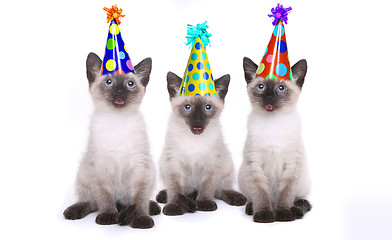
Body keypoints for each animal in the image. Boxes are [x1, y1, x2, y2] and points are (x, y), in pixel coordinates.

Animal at [62, 52, 159, 229]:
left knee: (132, 202)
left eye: (130, 84)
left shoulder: (141, 167)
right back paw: (73, 212)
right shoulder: (99, 168)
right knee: (91, 202)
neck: (117, 120)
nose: (120, 91)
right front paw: (108, 216)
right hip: (84, 172)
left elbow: (140, 199)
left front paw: (141, 218)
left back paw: (148, 208)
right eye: (109, 82)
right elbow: (104, 197)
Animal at [155, 71, 245, 216]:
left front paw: (204, 203)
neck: (194, 139)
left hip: (226, 164)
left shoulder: (212, 162)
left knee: (220, 190)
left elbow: (207, 186)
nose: (197, 121)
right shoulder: (172, 162)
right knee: (182, 190)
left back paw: (237, 199)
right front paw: (174, 206)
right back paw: (164, 196)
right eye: (187, 107)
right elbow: (175, 188)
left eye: (207, 107)